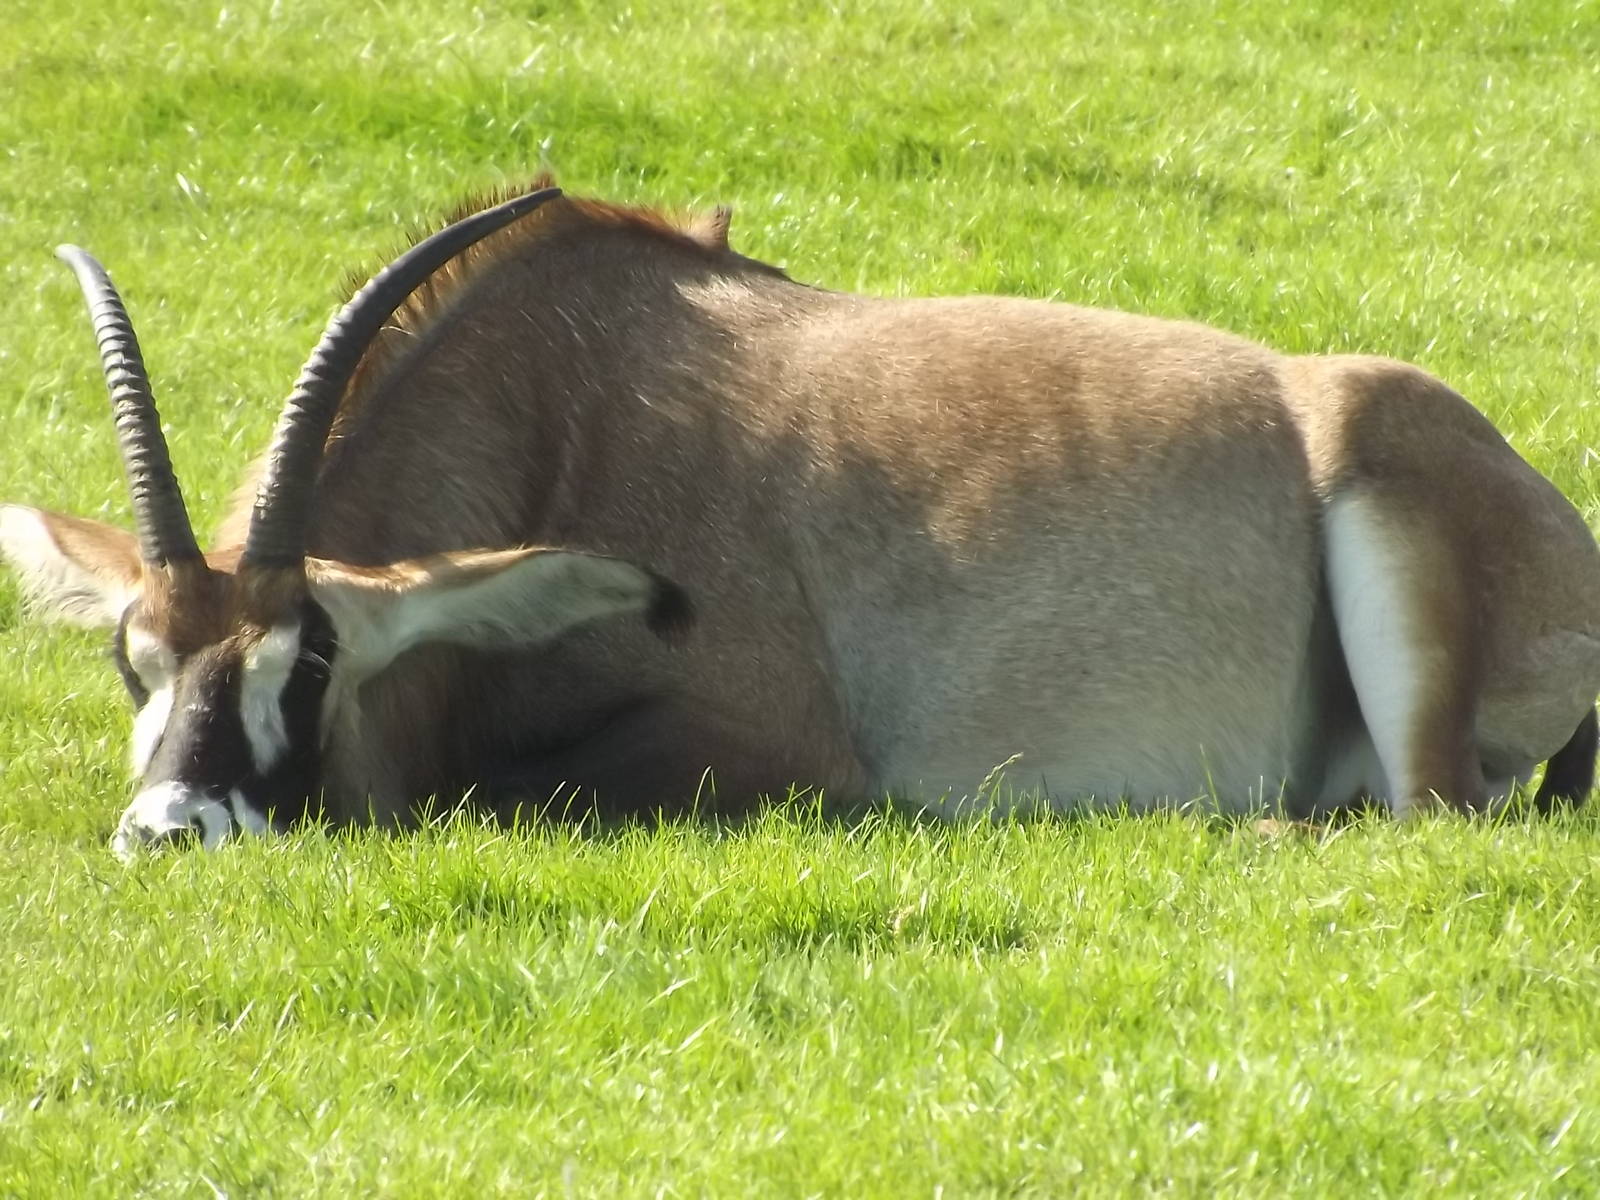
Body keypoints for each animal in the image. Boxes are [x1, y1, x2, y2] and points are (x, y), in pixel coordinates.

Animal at [3, 182, 1597, 858]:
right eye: (136, 661)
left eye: (313, 659)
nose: (168, 829)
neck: (550, 406)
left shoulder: (774, 752)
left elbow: (512, 794)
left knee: (1430, 821)